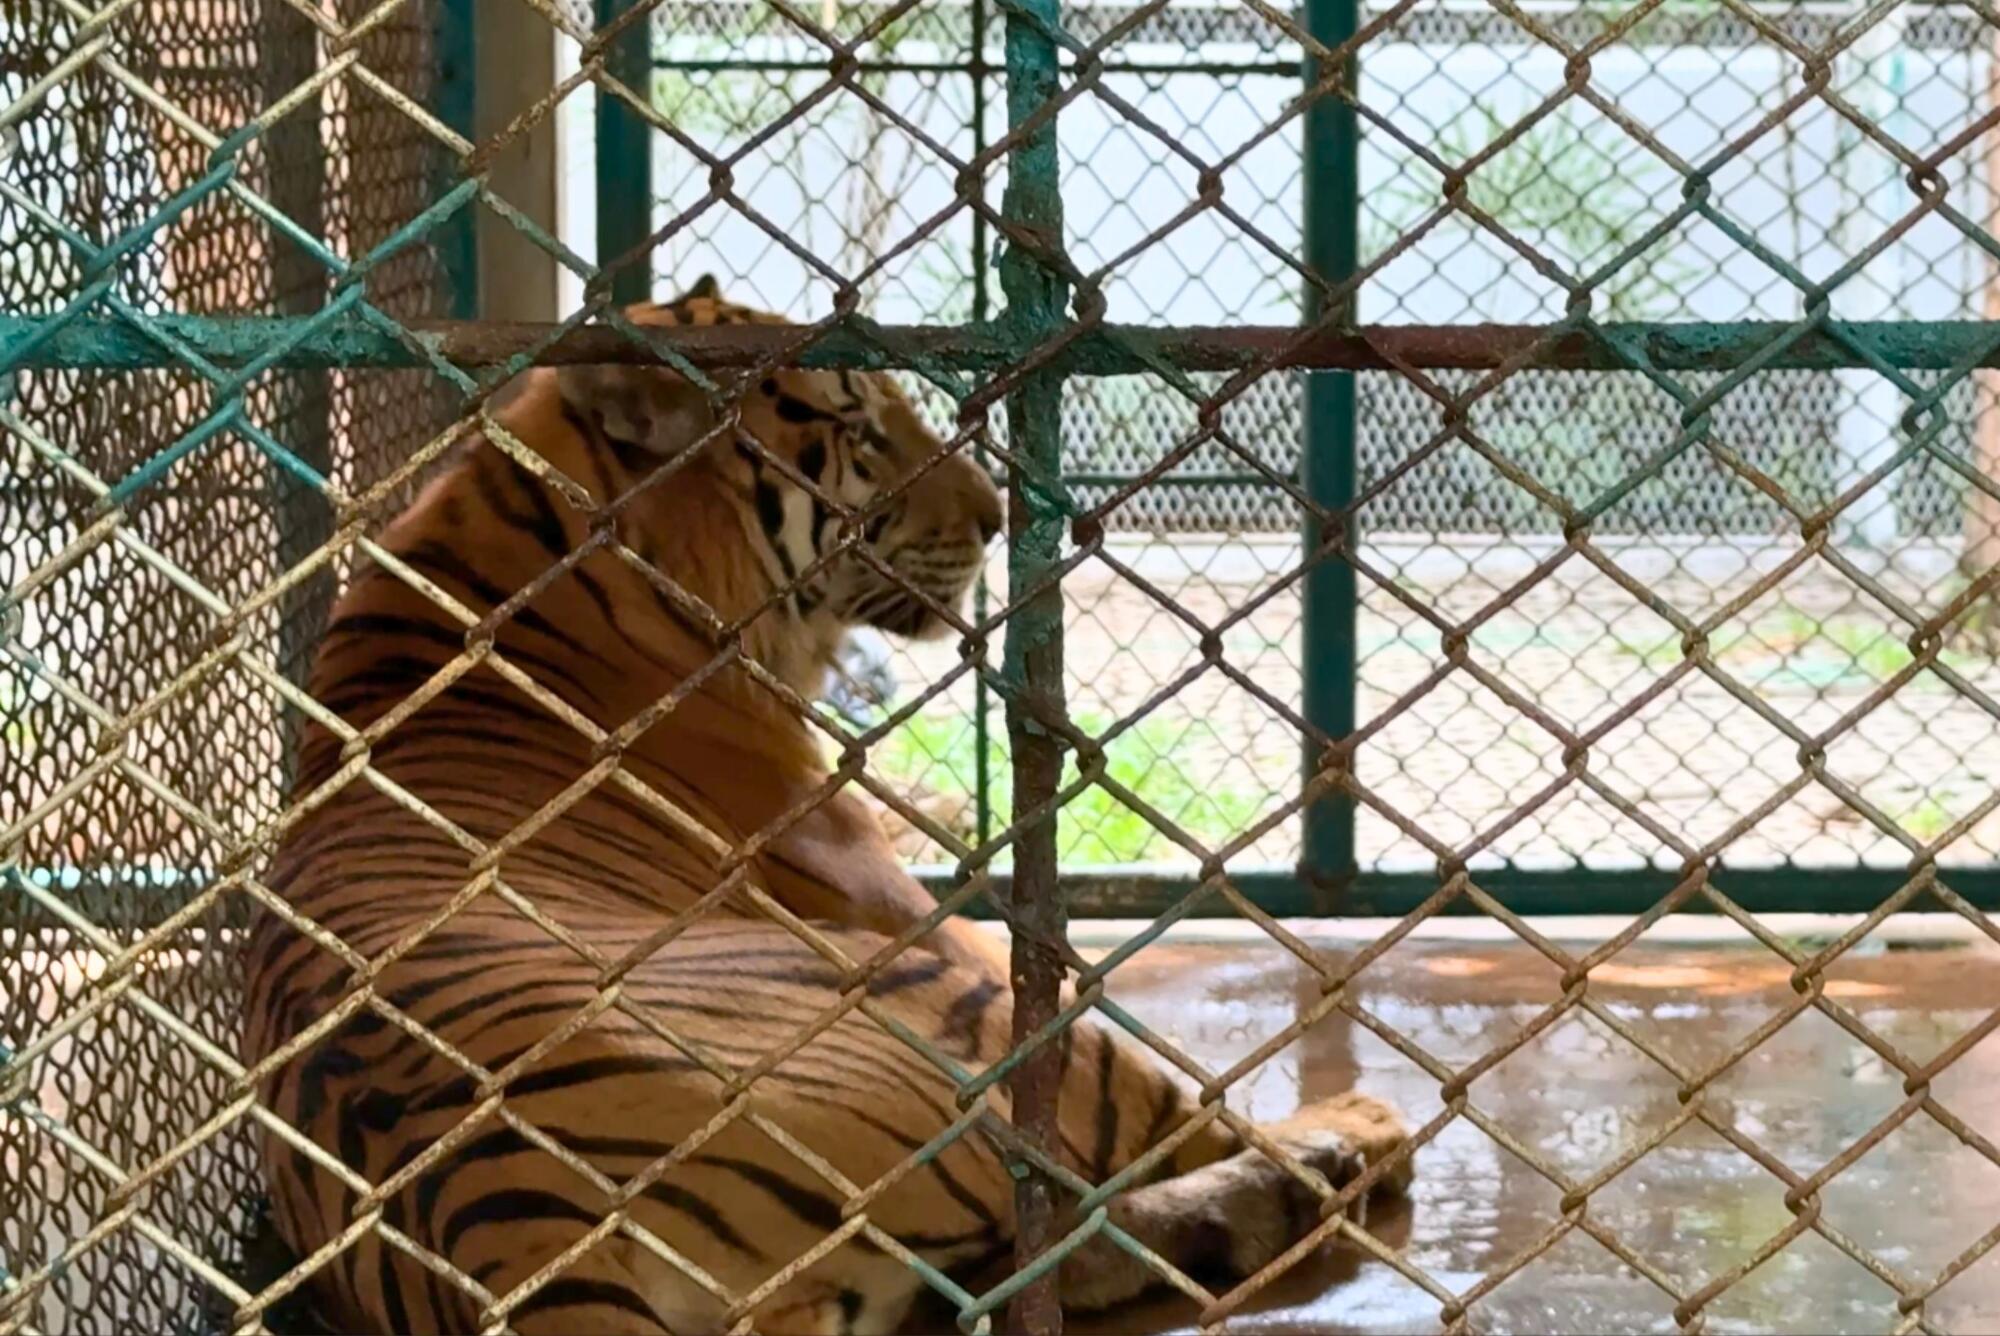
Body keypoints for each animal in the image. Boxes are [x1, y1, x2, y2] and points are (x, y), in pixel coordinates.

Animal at [241, 277, 1414, 1336]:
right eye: (860, 430)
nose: (995, 517)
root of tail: (510, 1219)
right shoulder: (904, 906)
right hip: (937, 998)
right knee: (1135, 1145)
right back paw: (1344, 1136)